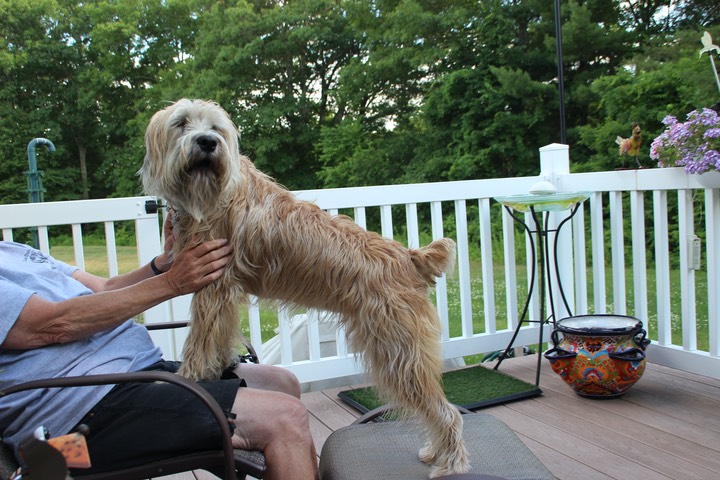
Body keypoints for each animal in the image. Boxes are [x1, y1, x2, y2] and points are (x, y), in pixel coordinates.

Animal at [140, 98, 470, 476]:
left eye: (216, 127)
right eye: (181, 123)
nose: (207, 142)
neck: (217, 191)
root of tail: (411, 257)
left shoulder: (213, 285)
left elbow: (199, 339)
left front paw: (191, 377)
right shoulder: (220, 290)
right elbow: (218, 334)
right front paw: (219, 366)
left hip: (399, 351)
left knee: (445, 411)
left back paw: (451, 464)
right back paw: (436, 453)